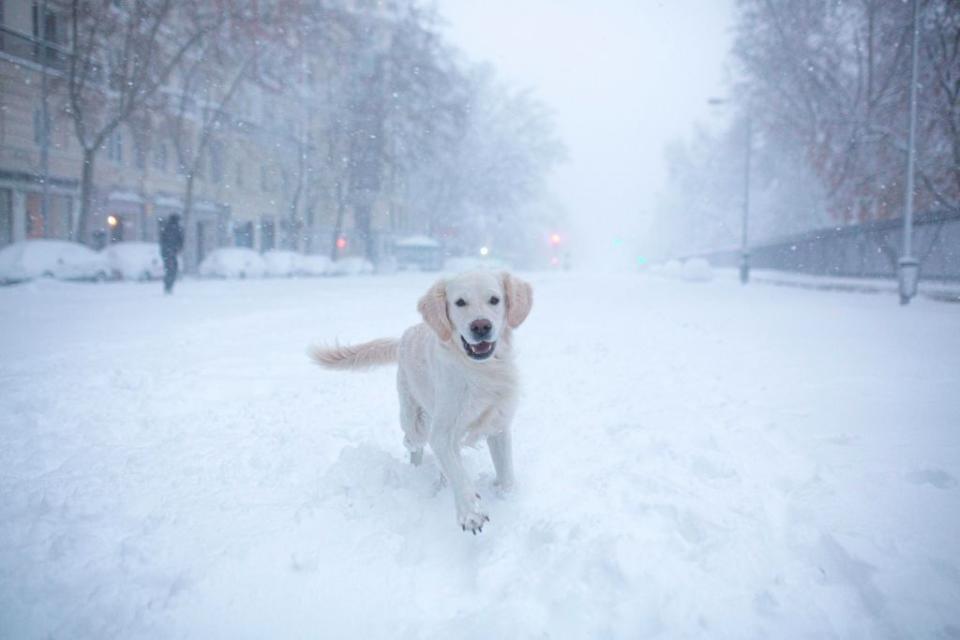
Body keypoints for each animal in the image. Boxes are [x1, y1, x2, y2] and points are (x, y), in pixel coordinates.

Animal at [312, 272, 532, 536]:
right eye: (460, 302)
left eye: (494, 299)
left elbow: (506, 473)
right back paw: (415, 471)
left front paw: (507, 499)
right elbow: (457, 472)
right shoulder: (442, 431)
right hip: (414, 420)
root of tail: (405, 336)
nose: (481, 326)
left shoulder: (498, 424)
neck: (479, 370)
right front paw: (471, 513)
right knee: (412, 443)